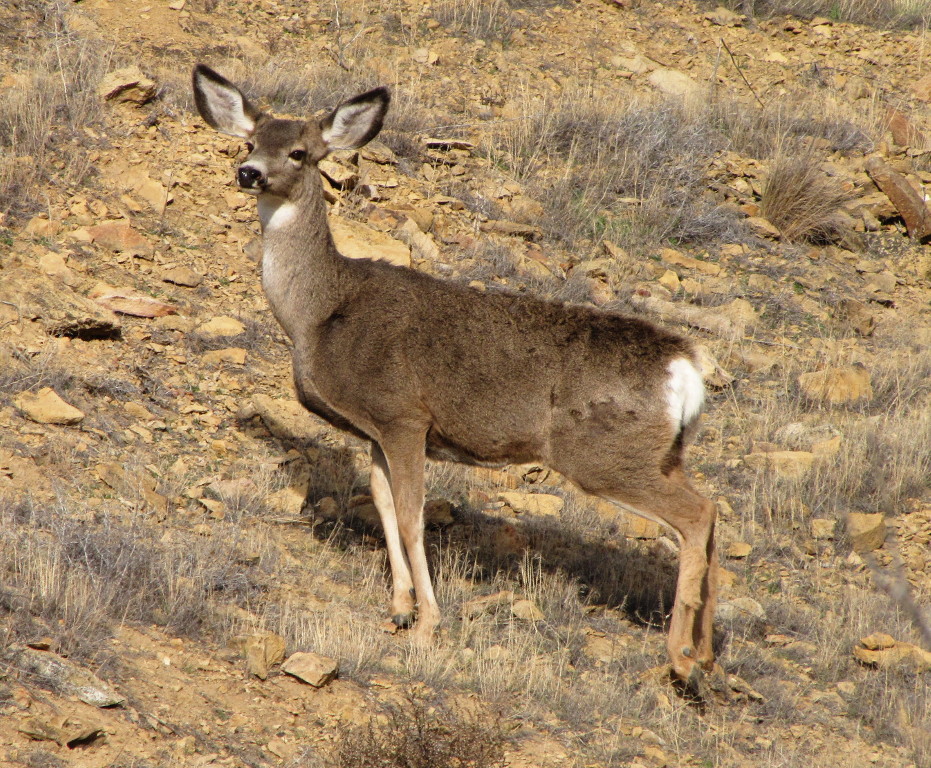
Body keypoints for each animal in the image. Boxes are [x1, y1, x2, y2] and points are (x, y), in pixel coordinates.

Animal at [192, 64, 719, 690]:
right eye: (249, 141)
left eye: (298, 151)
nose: (248, 172)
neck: (320, 312)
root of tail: (685, 369)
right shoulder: (375, 427)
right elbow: (383, 503)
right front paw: (398, 608)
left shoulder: (403, 413)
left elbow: (413, 517)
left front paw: (426, 625)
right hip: (663, 454)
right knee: (710, 512)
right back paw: (707, 655)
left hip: (605, 454)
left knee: (697, 516)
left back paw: (681, 658)